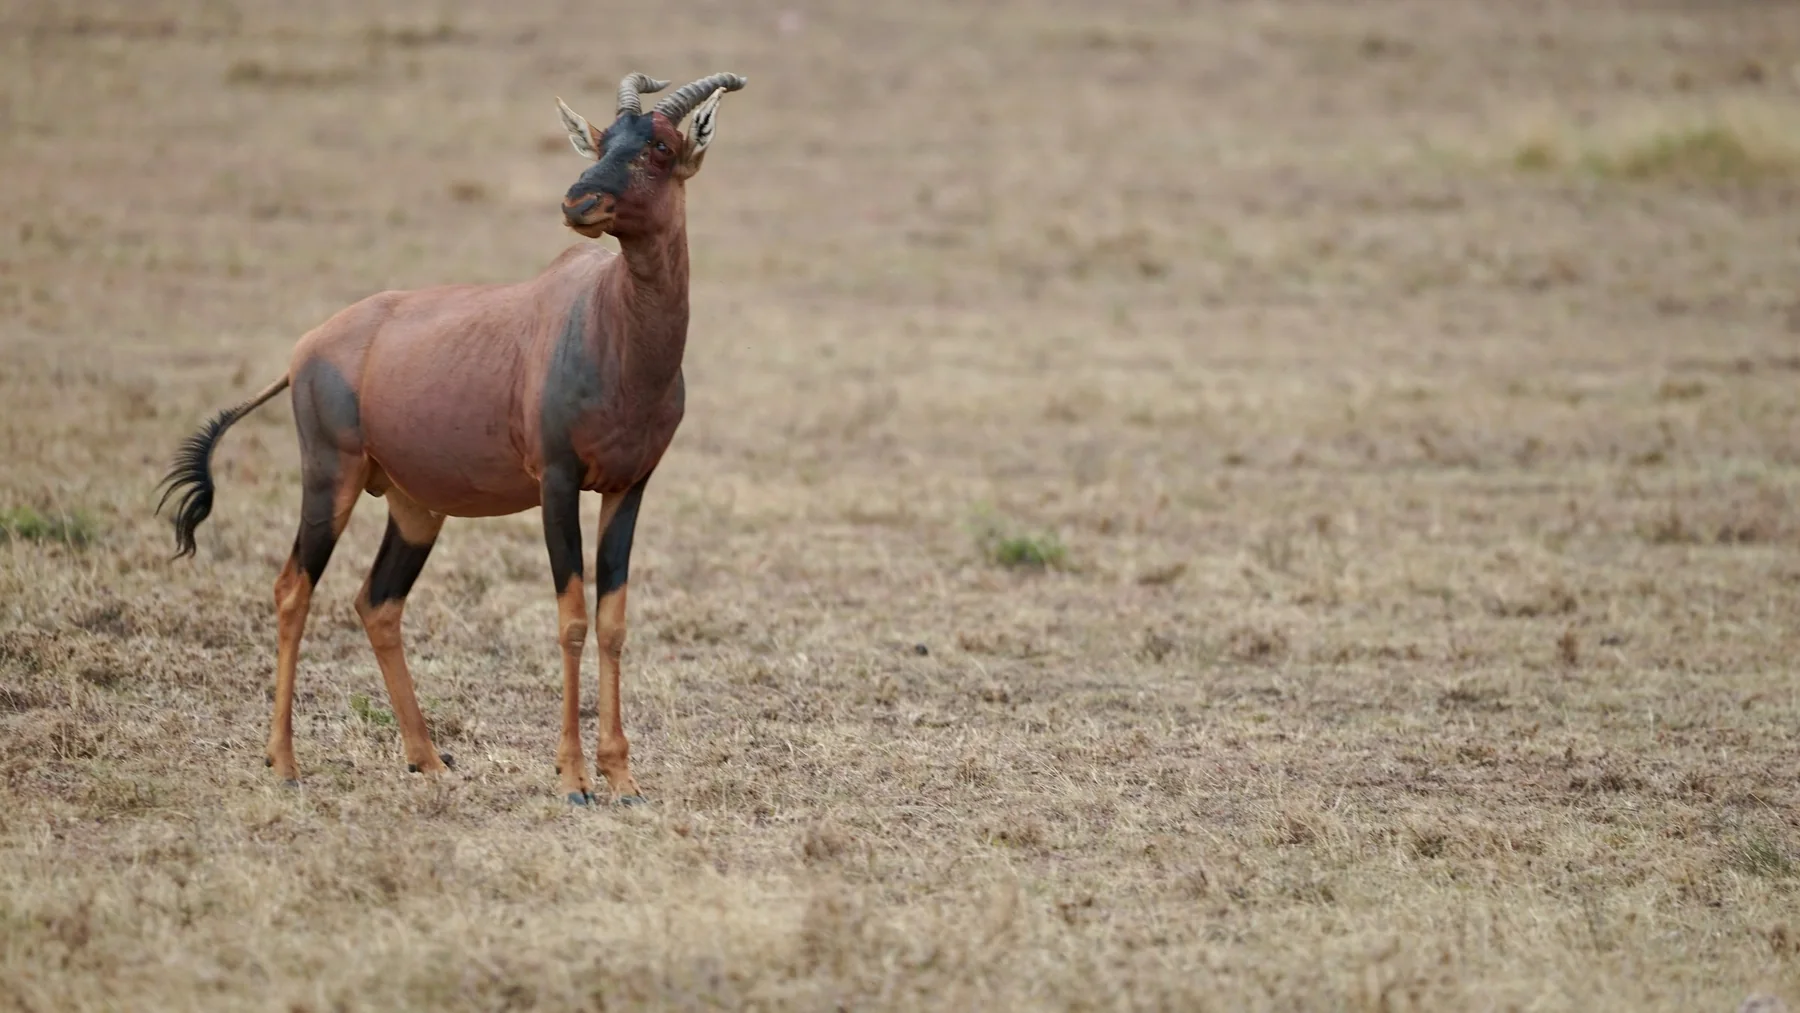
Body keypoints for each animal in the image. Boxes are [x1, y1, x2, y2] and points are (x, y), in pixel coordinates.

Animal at [157, 71, 747, 805]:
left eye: (662, 146)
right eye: (604, 139)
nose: (578, 199)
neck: (609, 320)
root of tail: (307, 349)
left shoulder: (629, 486)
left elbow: (612, 622)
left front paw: (622, 776)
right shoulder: (556, 483)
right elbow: (572, 619)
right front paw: (574, 778)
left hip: (414, 506)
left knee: (376, 602)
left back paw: (427, 758)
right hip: (330, 479)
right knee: (293, 588)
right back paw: (285, 763)